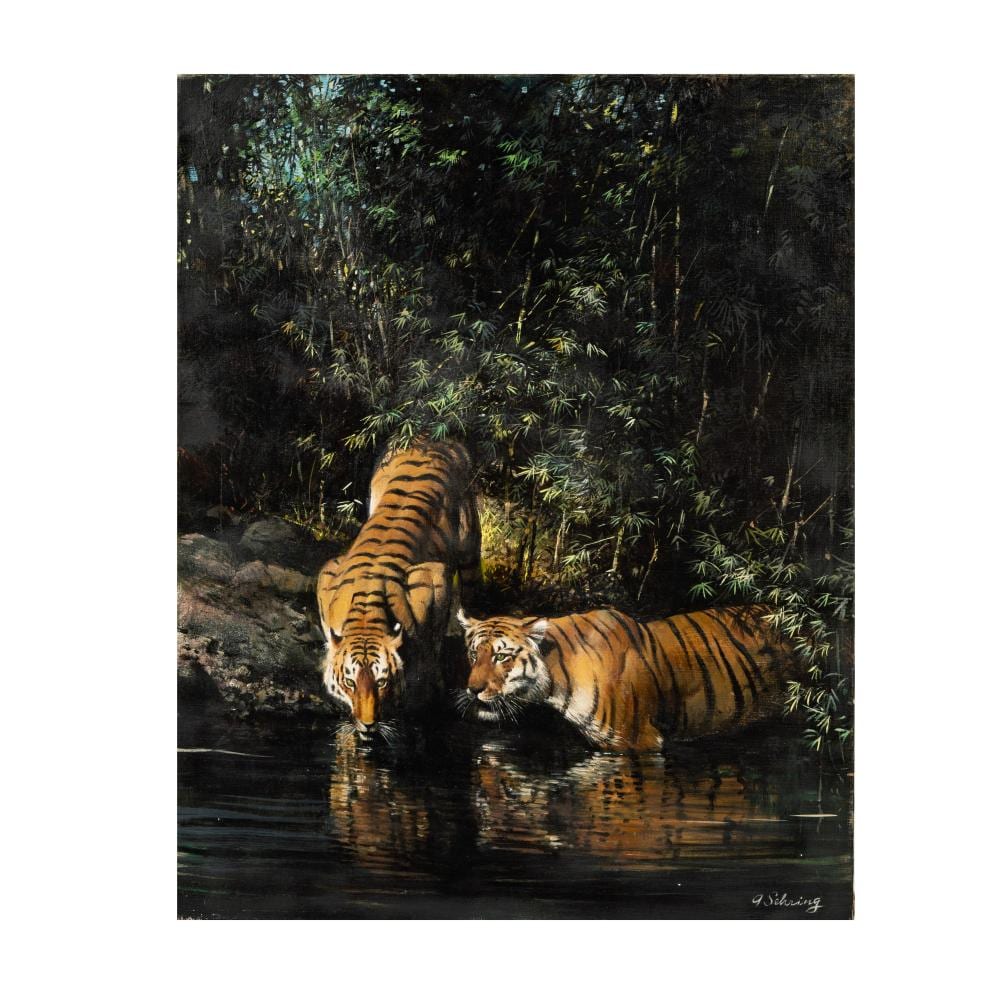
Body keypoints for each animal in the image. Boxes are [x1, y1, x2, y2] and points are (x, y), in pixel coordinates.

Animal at [317, 439, 480, 739]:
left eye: (382, 682)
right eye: (350, 682)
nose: (368, 724)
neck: (366, 616)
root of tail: (430, 436)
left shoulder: (434, 579)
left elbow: (431, 652)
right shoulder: (327, 572)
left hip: (469, 543)